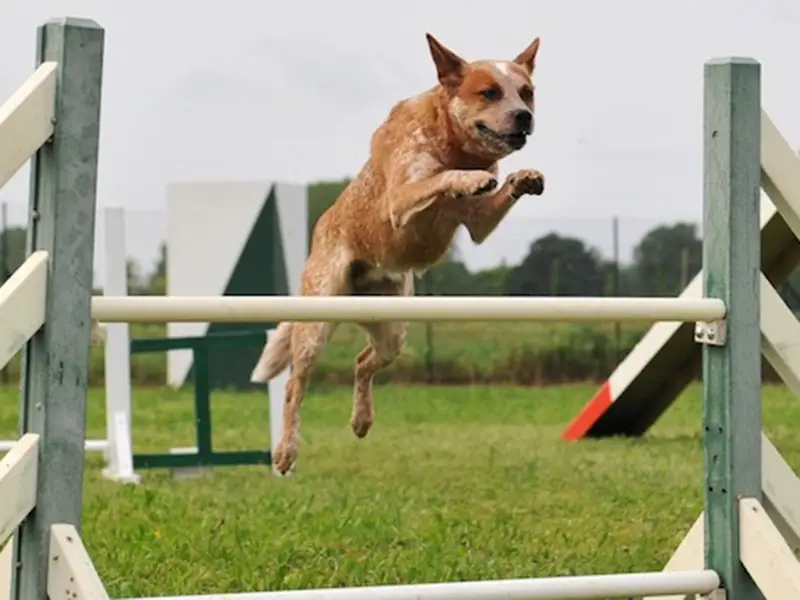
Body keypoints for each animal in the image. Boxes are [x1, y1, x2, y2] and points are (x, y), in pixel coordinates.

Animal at [253, 32, 548, 474]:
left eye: (526, 92)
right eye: (489, 92)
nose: (523, 117)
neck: (453, 143)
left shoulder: (478, 224)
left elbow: (494, 194)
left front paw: (523, 177)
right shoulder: (402, 199)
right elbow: (440, 178)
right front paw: (467, 179)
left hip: (393, 328)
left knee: (363, 361)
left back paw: (361, 420)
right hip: (317, 323)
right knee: (295, 381)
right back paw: (286, 450)